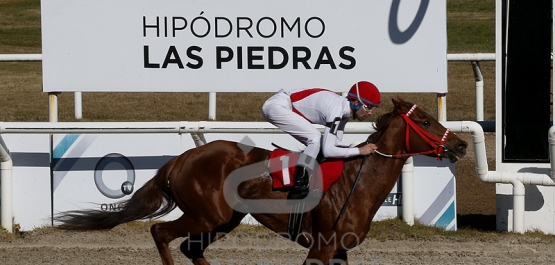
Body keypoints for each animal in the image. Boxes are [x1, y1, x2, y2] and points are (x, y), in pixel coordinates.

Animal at [54, 97, 470, 264]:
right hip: (206, 215)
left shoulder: (340, 250)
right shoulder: (321, 248)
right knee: (160, 232)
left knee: (190, 247)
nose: (462, 144)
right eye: (427, 121)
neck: (356, 181)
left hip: (224, 219)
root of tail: (180, 159)